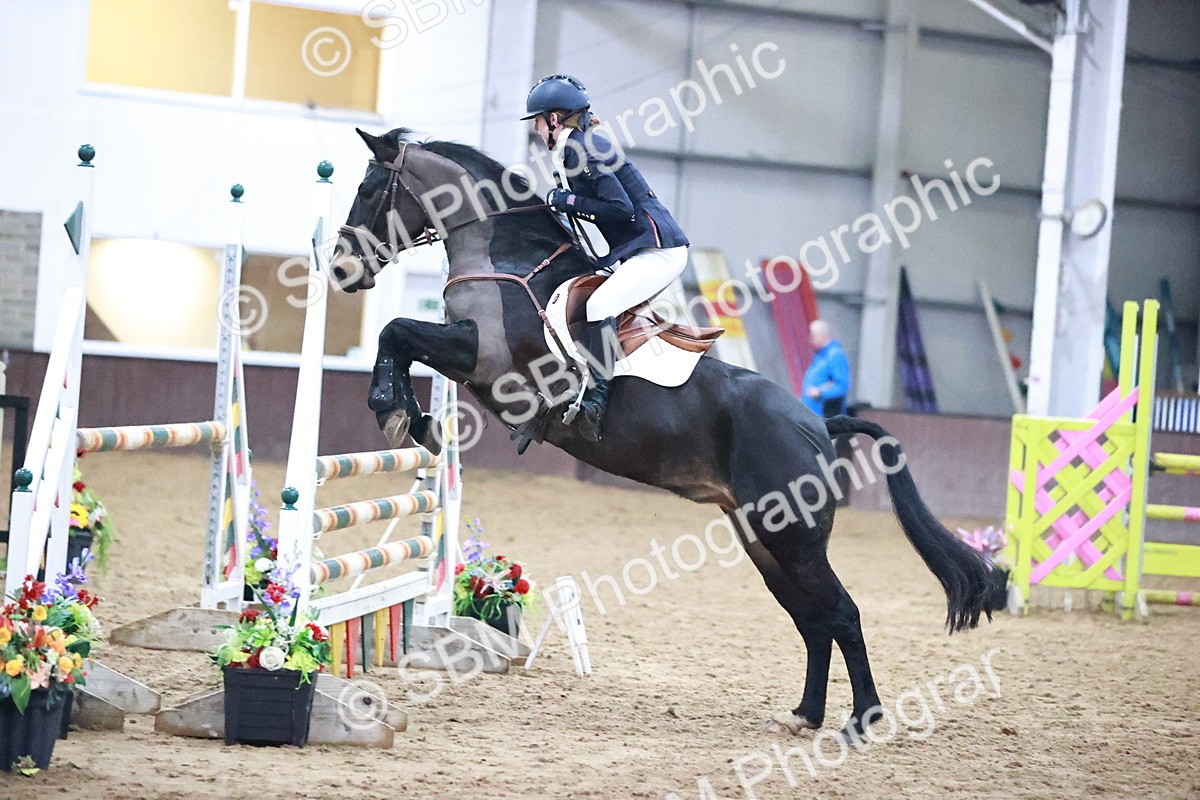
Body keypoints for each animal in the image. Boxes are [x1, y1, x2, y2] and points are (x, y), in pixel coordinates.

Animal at [333, 128, 1005, 740]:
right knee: (813, 620)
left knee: (841, 613)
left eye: (367, 189)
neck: (506, 256)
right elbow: (400, 339)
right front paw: (415, 420)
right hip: (763, 538)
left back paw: (862, 719)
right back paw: (804, 715)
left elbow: (397, 330)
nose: (340, 268)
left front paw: (395, 412)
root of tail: (818, 422)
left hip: (794, 539)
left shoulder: (486, 361)